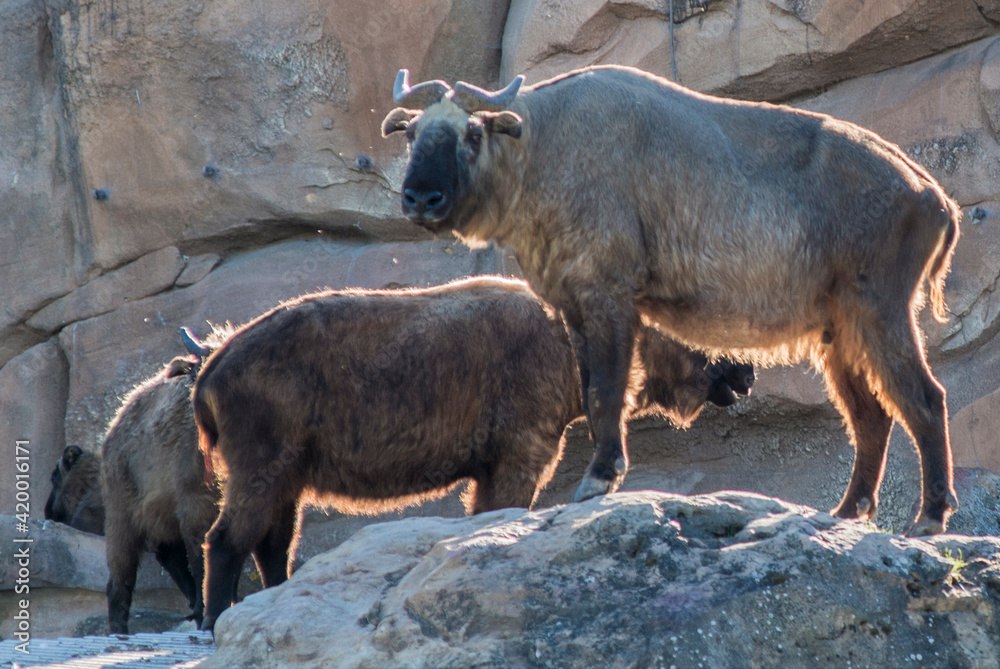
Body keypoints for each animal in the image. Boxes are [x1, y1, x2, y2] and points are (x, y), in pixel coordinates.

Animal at [193, 274, 752, 628]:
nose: (746, 372)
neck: (570, 339)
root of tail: (211, 368)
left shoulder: (492, 465)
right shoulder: (521, 453)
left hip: (289, 473)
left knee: (273, 546)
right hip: (264, 463)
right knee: (225, 540)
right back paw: (215, 616)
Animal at [382, 62, 960, 532]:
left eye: (472, 132)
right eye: (411, 133)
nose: (420, 198)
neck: (544, 147)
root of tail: (931, 192)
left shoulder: (610, 297)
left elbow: (607, 391)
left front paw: (600, 477)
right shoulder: (574, 307)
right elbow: (592, 392)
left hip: (880, 313)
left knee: (925, 399)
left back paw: (930, 516)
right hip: (839, 334)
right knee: (871, 417)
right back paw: (846, 512)